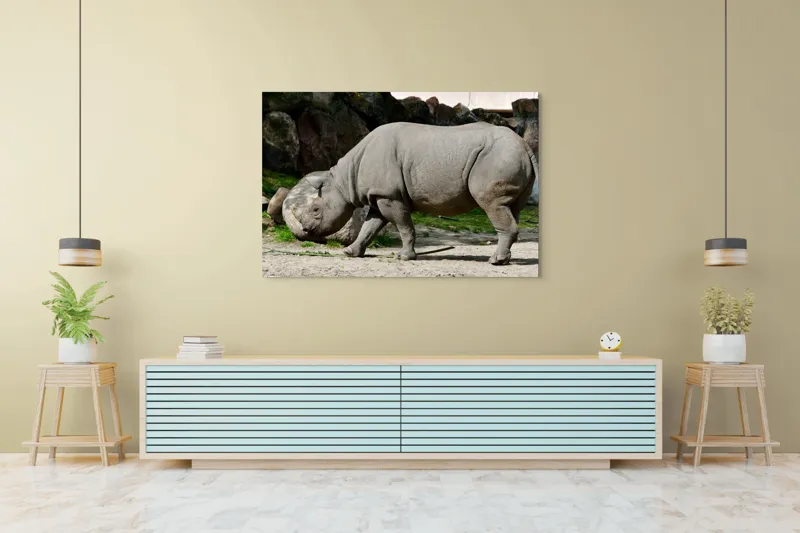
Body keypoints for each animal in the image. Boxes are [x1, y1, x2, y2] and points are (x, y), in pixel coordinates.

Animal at [281, 122, 538, 265]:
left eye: (316, 210)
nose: (306, 231)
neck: (344, 180)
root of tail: (526, 146)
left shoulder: (390, 196)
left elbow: (404, 227)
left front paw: (404, 257)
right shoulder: (379, 196)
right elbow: (369, 227)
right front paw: (350, 252)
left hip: (497, 157)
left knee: (492, 204)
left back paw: (494, 262)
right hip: (509, 156)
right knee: (511, 208)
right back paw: (504, 261)